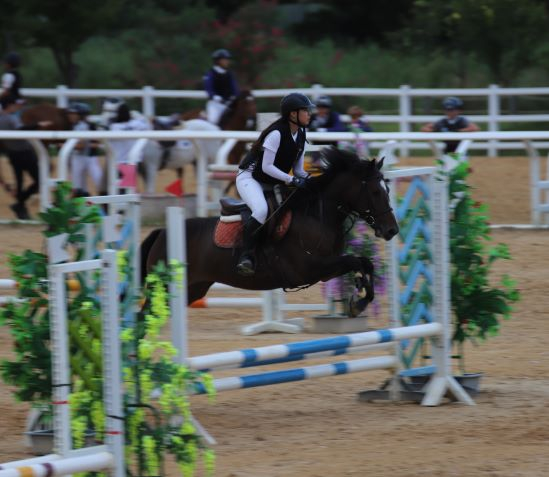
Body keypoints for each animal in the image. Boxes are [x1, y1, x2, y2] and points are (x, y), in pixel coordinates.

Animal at [140, 148, 399, 317]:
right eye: (375, 192)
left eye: (387, 188)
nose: (392, 230)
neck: (317, 215)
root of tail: (161, 232)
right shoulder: (311, 268)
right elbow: (356, 261)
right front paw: (358, 299)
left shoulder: (327, 269)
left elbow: (365, 263)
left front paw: (360, 299)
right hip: (163, 289)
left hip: (192, 290)